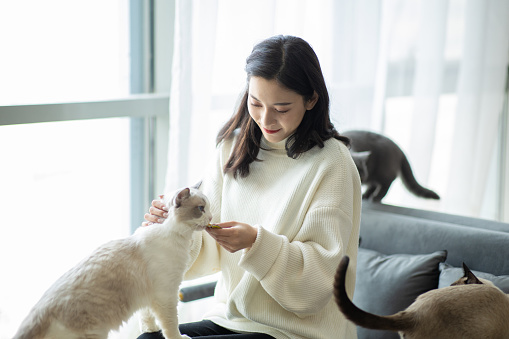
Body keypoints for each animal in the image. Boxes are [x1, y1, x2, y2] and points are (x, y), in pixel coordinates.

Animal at [12, 187, 210, 339]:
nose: (211, 217)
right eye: (201, 208)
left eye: (207, 208)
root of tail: (38, 315)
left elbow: (147, 317)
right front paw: (179, 337)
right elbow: (171, 325)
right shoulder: (166, 295)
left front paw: (150, 330)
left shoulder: (151, 296)